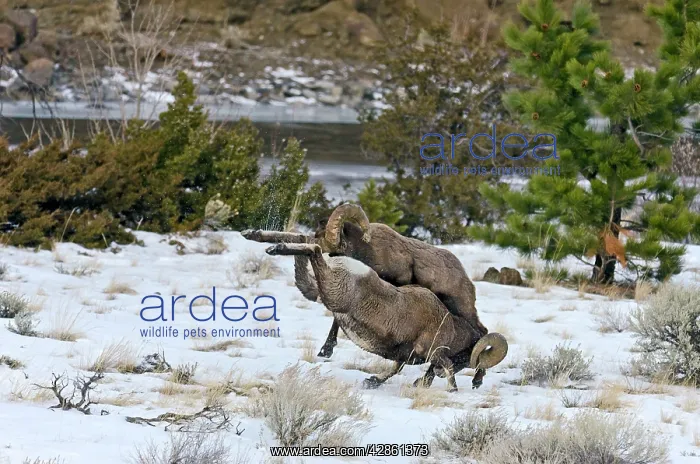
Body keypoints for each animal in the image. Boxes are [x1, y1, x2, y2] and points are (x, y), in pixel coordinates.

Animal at [242, 203, 488, 367]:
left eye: (322, 236)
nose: (316, 242)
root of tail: (467, 281)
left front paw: (325, 351)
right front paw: (253, 234)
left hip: (463, 311)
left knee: (480, 333)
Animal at [264, 242, 508, 391]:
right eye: (466, 358)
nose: (437, 375)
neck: (449, 326)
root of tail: (347, 264)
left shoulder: (405, 357)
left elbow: (394, 369)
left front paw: (372, 382)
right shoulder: (435, 353)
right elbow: (445, 364)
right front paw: (452, 389)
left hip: (319, 291)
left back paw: (273, 246)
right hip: (332, 293)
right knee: (314, 249)